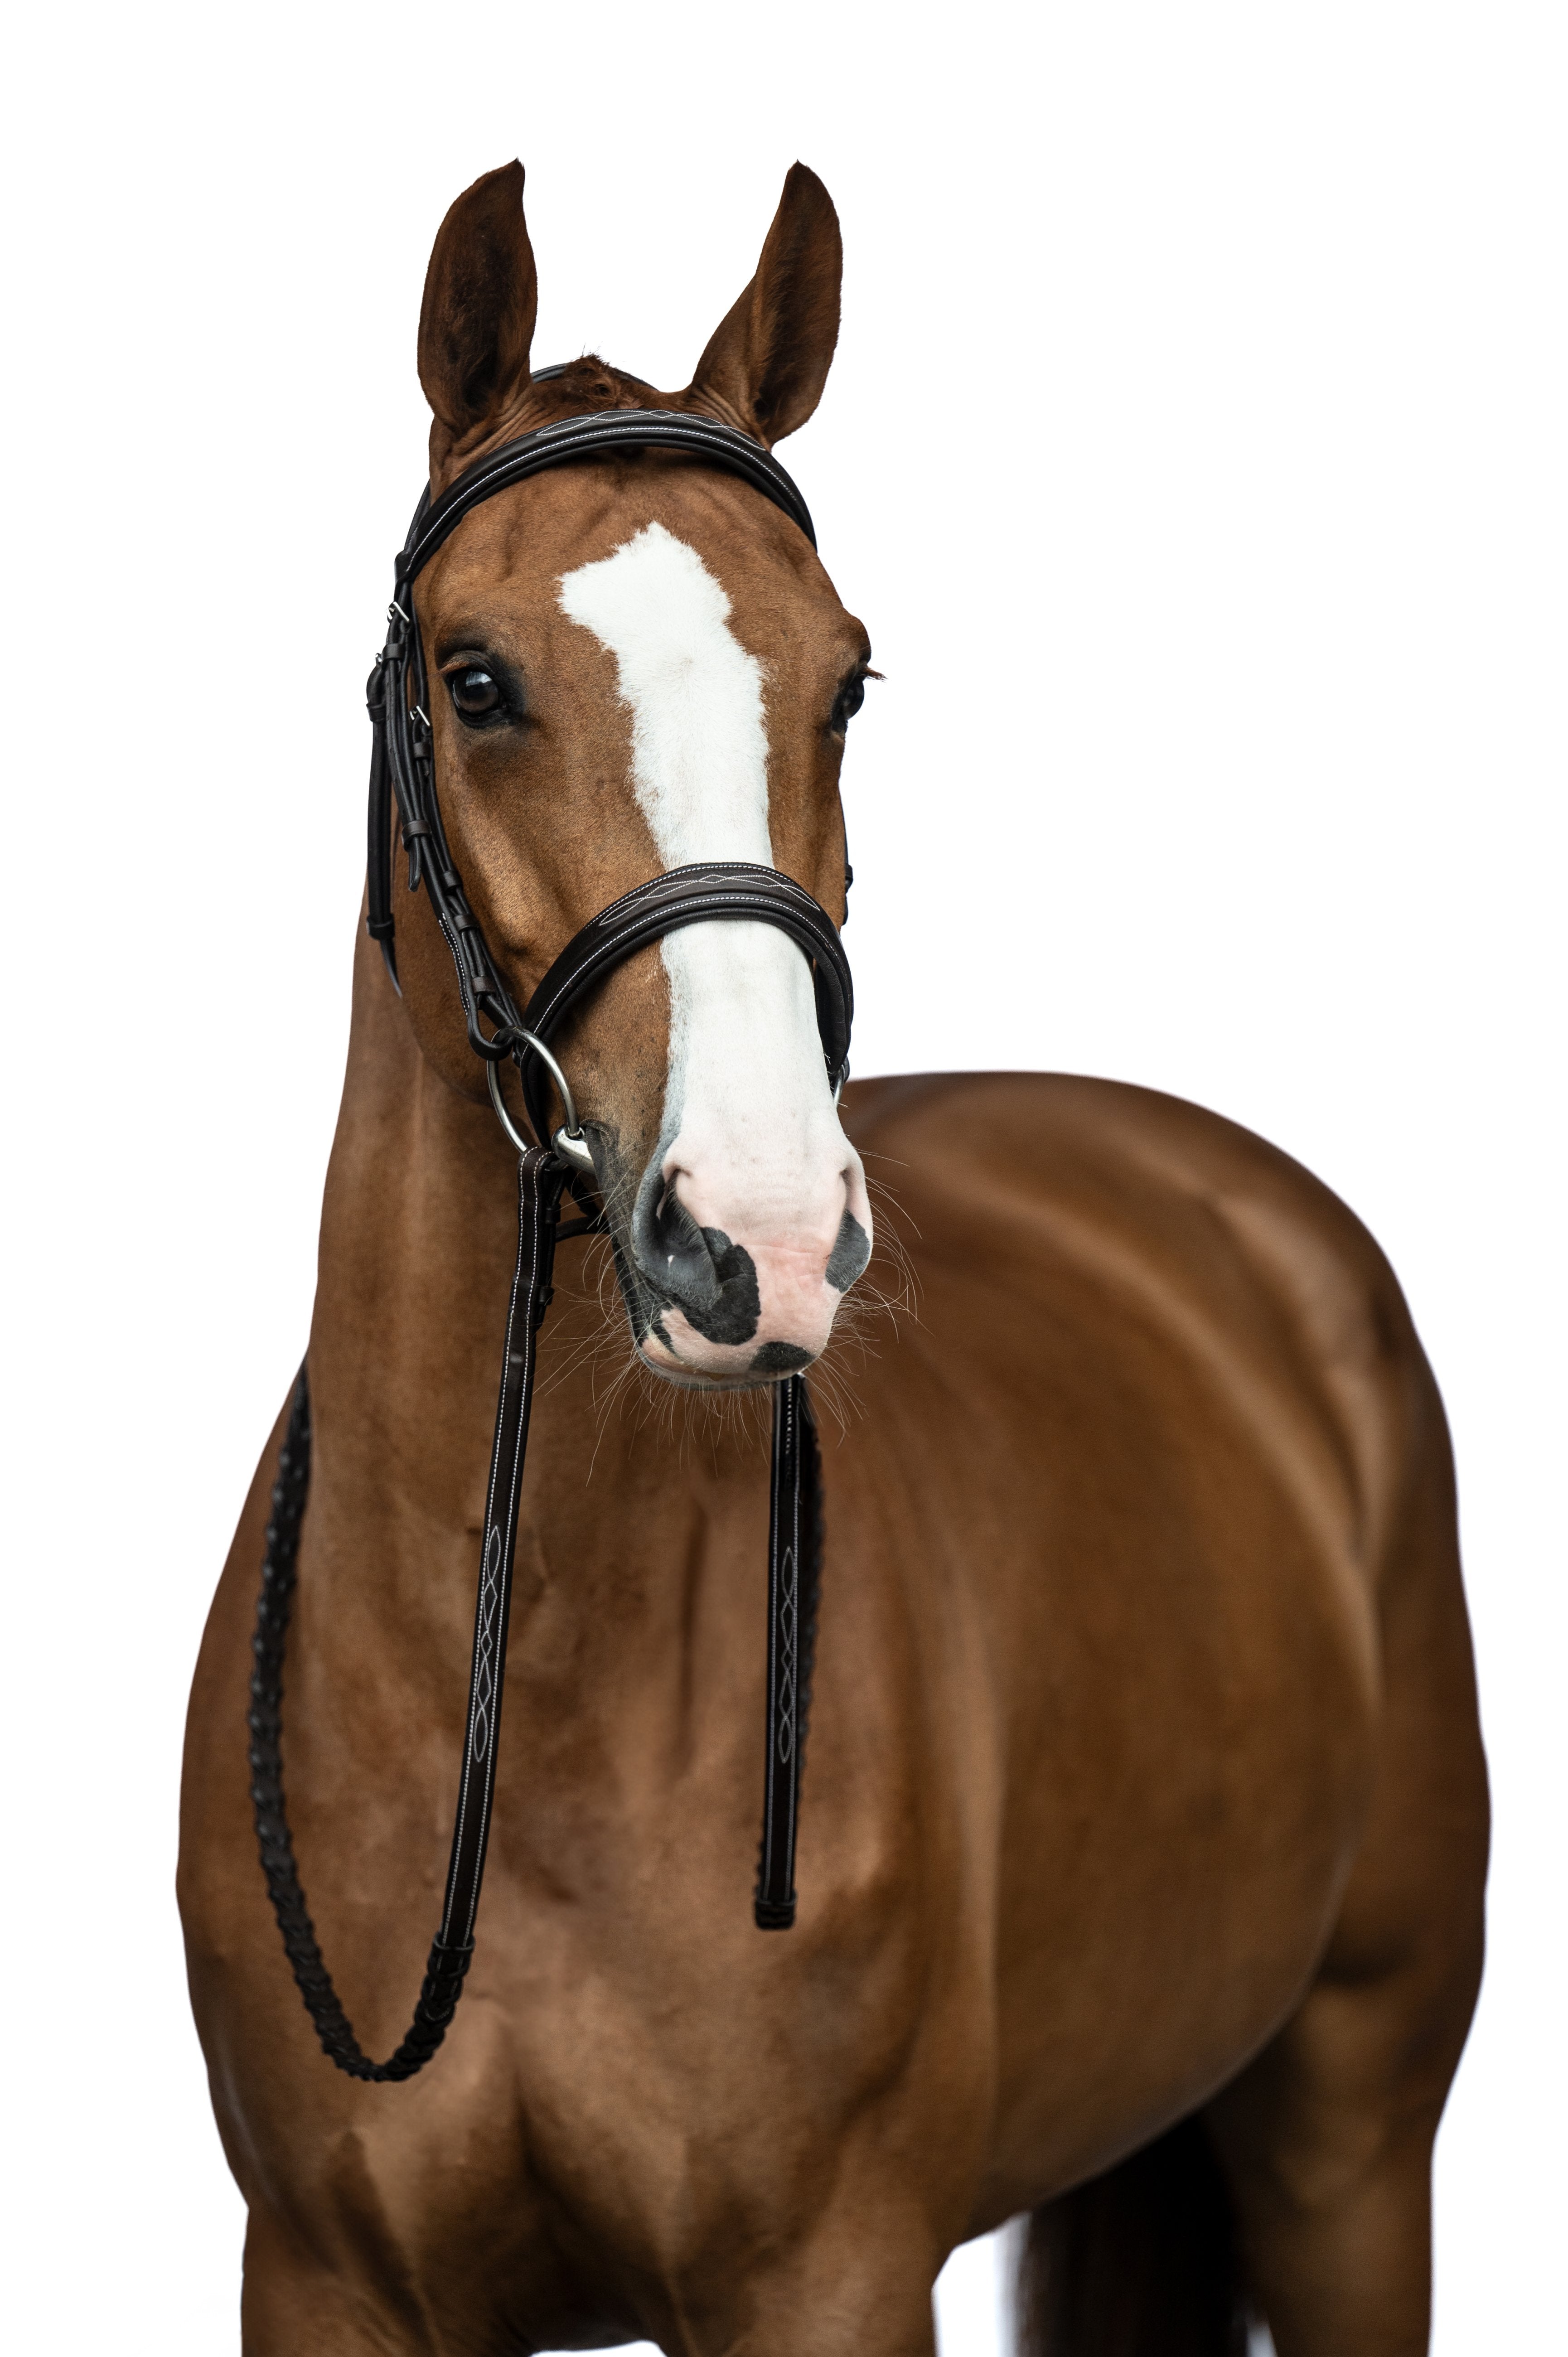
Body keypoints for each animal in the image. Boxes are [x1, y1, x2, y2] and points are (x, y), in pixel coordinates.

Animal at [179, 160, 1488, 2357]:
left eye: (846, 676)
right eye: (473, 677)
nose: (761, 1242)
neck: (533, 1699)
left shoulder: (832, 2276)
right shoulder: (328, 2280)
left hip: (1348, 2137)